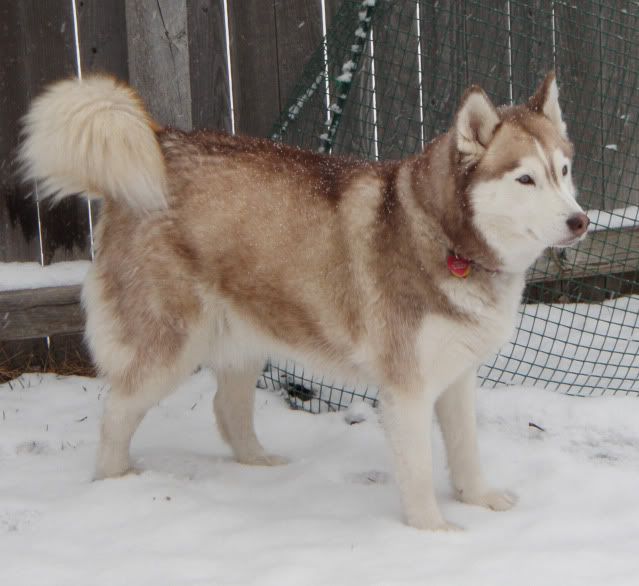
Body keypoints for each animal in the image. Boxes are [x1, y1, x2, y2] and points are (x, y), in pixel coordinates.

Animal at [20, 70, 592, 528]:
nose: (580, 221)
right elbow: (419, 469)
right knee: (117, 409)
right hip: (168, 349)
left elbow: (466, 450)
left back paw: (258, 465)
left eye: (563, 170)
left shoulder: (456, 376)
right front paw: (433, 532)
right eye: (525, 178)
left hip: (243, 337)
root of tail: (160, 140)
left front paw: (478, 499)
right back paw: (115, 484)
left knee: (226, 408)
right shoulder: (406, 388)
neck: (448, 238)